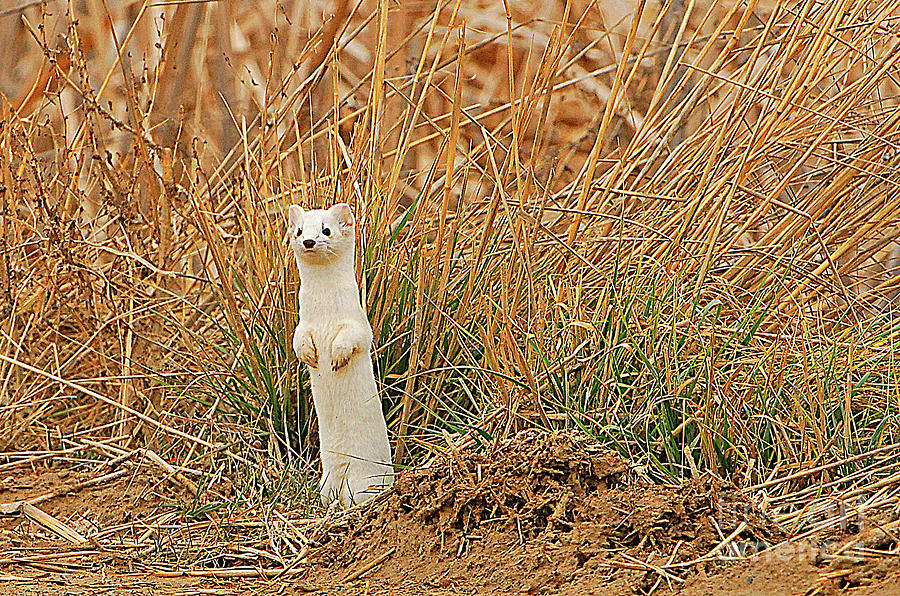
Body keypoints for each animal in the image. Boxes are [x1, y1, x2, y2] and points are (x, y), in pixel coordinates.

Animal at [288, 203, 394, 506]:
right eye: (299, 231)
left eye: (326, 230)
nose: (308, 241)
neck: (324, 312)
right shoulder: (303, 325)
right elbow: (298, 340)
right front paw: (310, 355)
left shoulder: (358, 324)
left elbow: (351, 339)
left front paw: (336, 357)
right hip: (327, 481)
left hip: (367, 481)